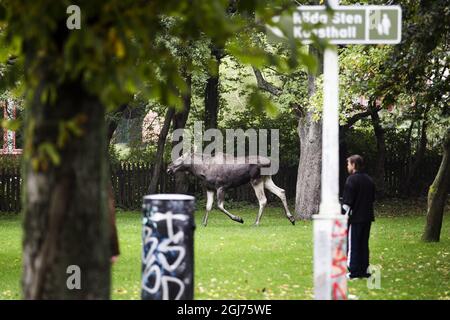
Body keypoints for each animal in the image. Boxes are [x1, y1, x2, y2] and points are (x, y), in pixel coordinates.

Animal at [165, 152, 296, 225]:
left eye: (181, 157)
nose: (168, 168)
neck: (201, 170)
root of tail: (270, 162)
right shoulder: (209, 188)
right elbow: (208, 206)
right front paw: (204, 223)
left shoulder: (221, 186)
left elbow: (219, 206)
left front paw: (239, 219)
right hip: (266, 179)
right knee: (281, 191)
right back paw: (291, 218)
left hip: (256, 180)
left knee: (263, 200)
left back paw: (256, 222)